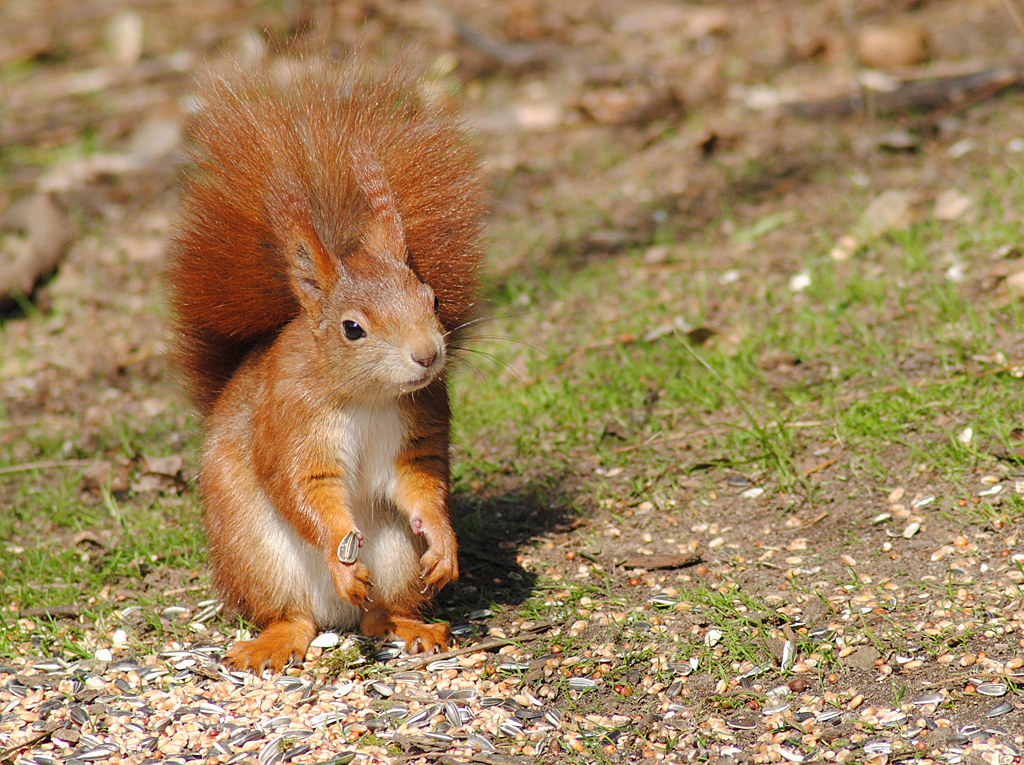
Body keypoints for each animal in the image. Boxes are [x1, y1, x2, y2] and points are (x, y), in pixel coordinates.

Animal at [165, 56, 485, 671]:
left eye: (432, 299)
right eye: (352, 328)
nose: (428, 355)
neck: (367, 396)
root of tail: (338, 617)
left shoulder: (420, 421)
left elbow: (421, 482)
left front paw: (444, 542)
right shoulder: (290, 423)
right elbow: (304, 489)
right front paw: (340, 555)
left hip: (394, 555)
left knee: (380, 611)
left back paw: (408, 624)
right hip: (256, 554)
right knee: (292, 614)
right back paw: (275, 640)